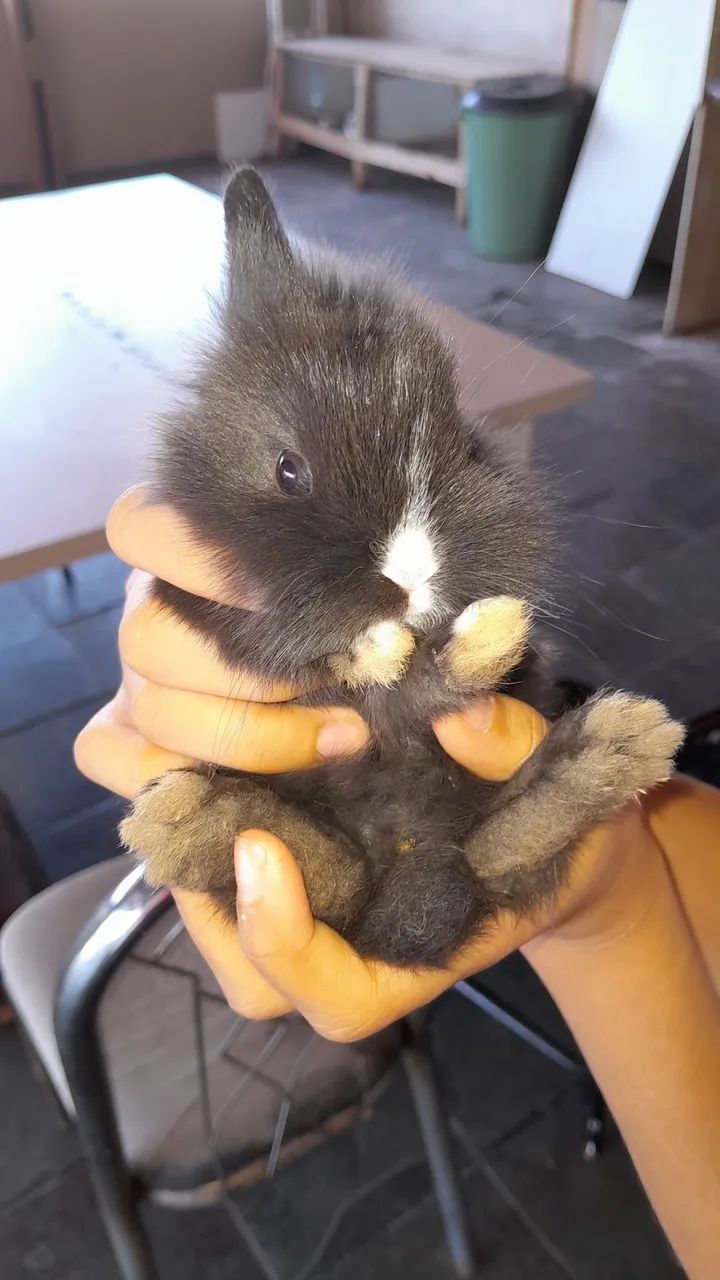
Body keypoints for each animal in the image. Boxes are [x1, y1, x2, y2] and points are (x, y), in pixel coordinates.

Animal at [120, 168, 684, 967]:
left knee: (493, 857)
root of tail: (403, 884)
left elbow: (418, 688)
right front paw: (382, 651)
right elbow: (301, 654)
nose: (412, 580)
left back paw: (614, 744)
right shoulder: (206, 600)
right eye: (288, 469)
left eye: (466, 447)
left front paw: (476, 640)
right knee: (329, 878)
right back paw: (190, 821)